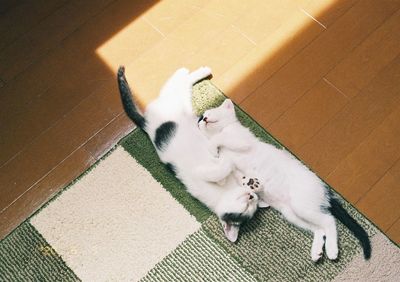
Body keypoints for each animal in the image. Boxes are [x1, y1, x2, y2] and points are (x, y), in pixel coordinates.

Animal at [117, 66, 258, 242]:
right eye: (247, 206)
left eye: (252, 204)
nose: (251, 195)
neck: (226, 191)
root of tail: (148, 126)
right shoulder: (203, 173)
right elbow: (219, 169)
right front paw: (227, 165)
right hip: (171, 102)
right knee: (177, 82)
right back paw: (191, 71)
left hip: (182, 101)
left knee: (184, 85)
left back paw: (199, 72)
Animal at [198, 99, 372, 262]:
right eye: (200, 118)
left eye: (210, 112)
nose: (203, 118)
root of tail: (324, 189)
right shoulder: (228, 163)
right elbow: (223, 170)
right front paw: (216, 174)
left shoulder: (241, 140)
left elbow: (220, 139)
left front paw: (212, 150)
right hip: (291, 213)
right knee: (319, 228)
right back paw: (317, 251)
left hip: (301, 205)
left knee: (329, 220)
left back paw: (331, 250)